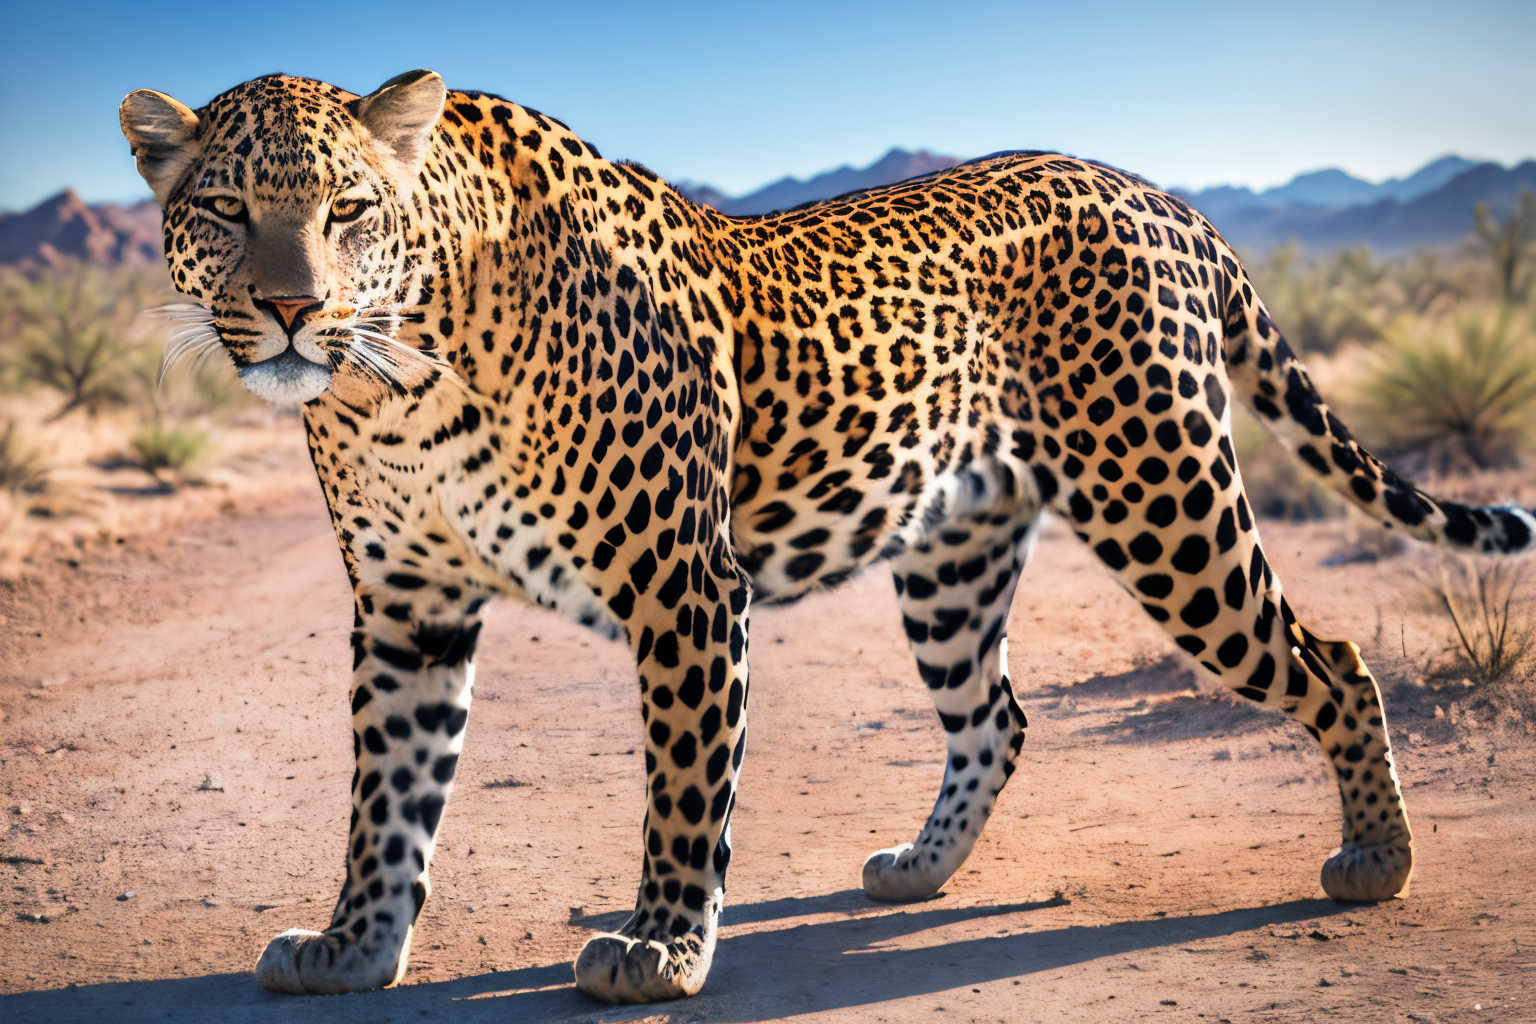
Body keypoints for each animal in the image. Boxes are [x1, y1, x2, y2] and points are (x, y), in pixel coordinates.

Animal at [119, 69, 1536, 1004]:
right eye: (227, 209)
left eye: (351, 211)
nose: (294, 310)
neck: (395, 381)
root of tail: (1158, 193)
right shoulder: (408, 602)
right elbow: (388, 791)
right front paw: (354, 943)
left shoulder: (680, 582)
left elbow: (685, 785)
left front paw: (659, 947)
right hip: (954, 555)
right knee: (998, 713)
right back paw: (917, 868)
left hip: (1166, 502)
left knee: (1334, 661)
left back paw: (1378, 859)